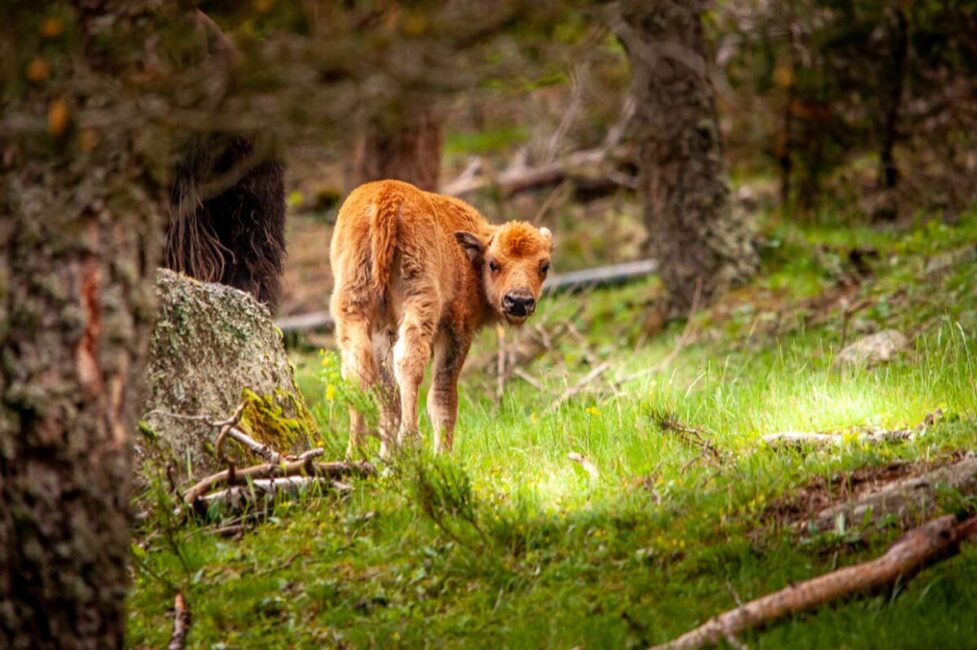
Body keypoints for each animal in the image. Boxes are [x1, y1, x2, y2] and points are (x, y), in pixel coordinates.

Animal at [332, 180, 552, 458]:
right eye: (493, 263)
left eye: (544, 266)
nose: (519, 301)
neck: (470, 258)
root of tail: (386, 198)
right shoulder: (456, 330)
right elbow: (443, 395)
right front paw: (443, 455)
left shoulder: (384, 329)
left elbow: (388, 394)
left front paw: (388, 455)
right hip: (419, 298)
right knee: (410, 362)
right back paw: (411, 440)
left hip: (352, 302)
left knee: (357, 368)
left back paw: (355, 452)